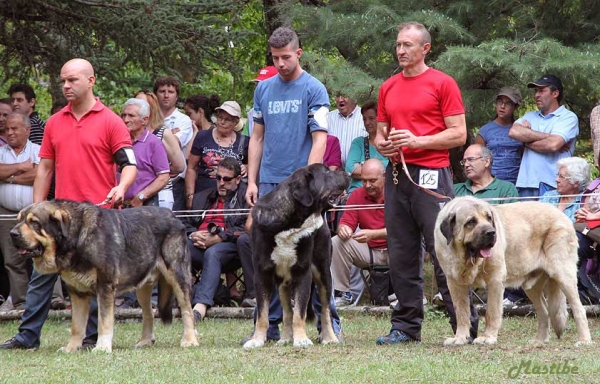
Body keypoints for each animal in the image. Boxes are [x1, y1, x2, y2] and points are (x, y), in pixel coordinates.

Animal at [11, 201, 199, 354]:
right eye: (19, 220)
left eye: (34, 222)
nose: (13, 233)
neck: (77, 236)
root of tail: (174, 216)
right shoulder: (76, 292)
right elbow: (76, 325)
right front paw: (72, 347)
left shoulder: (105, 287)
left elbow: (104, 321)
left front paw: (102, 347)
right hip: (142, 287)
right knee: (148, 313)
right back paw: (145, 341)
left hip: (177, 276)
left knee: (187, 310)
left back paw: (190, 340)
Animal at [243, 164, 350, 350]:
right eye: (327, 172)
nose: (348, 174)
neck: (289, 225)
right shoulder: (262, 274)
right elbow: (263, 314)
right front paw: (257, 340)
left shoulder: (302, 273)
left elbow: (300, 313)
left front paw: (301, 339)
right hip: (283, 284)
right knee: (287, 312)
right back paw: (286, 338)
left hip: (323, 273)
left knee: (325, 311)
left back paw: (330, 338)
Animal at [434, 196, 592, 346]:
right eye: (471, 222)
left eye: (489, 218)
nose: (492, 232)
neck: (468, 259)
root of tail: (561, 214)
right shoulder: (454, 283)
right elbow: (461, 313)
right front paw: (459, 338)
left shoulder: (495, 280)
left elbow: (492, 312)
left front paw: (487, 337)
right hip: (531, 286)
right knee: (544, 311)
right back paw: (539, 340)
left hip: (562, 274)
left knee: (578, 309)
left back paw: (584, 340)